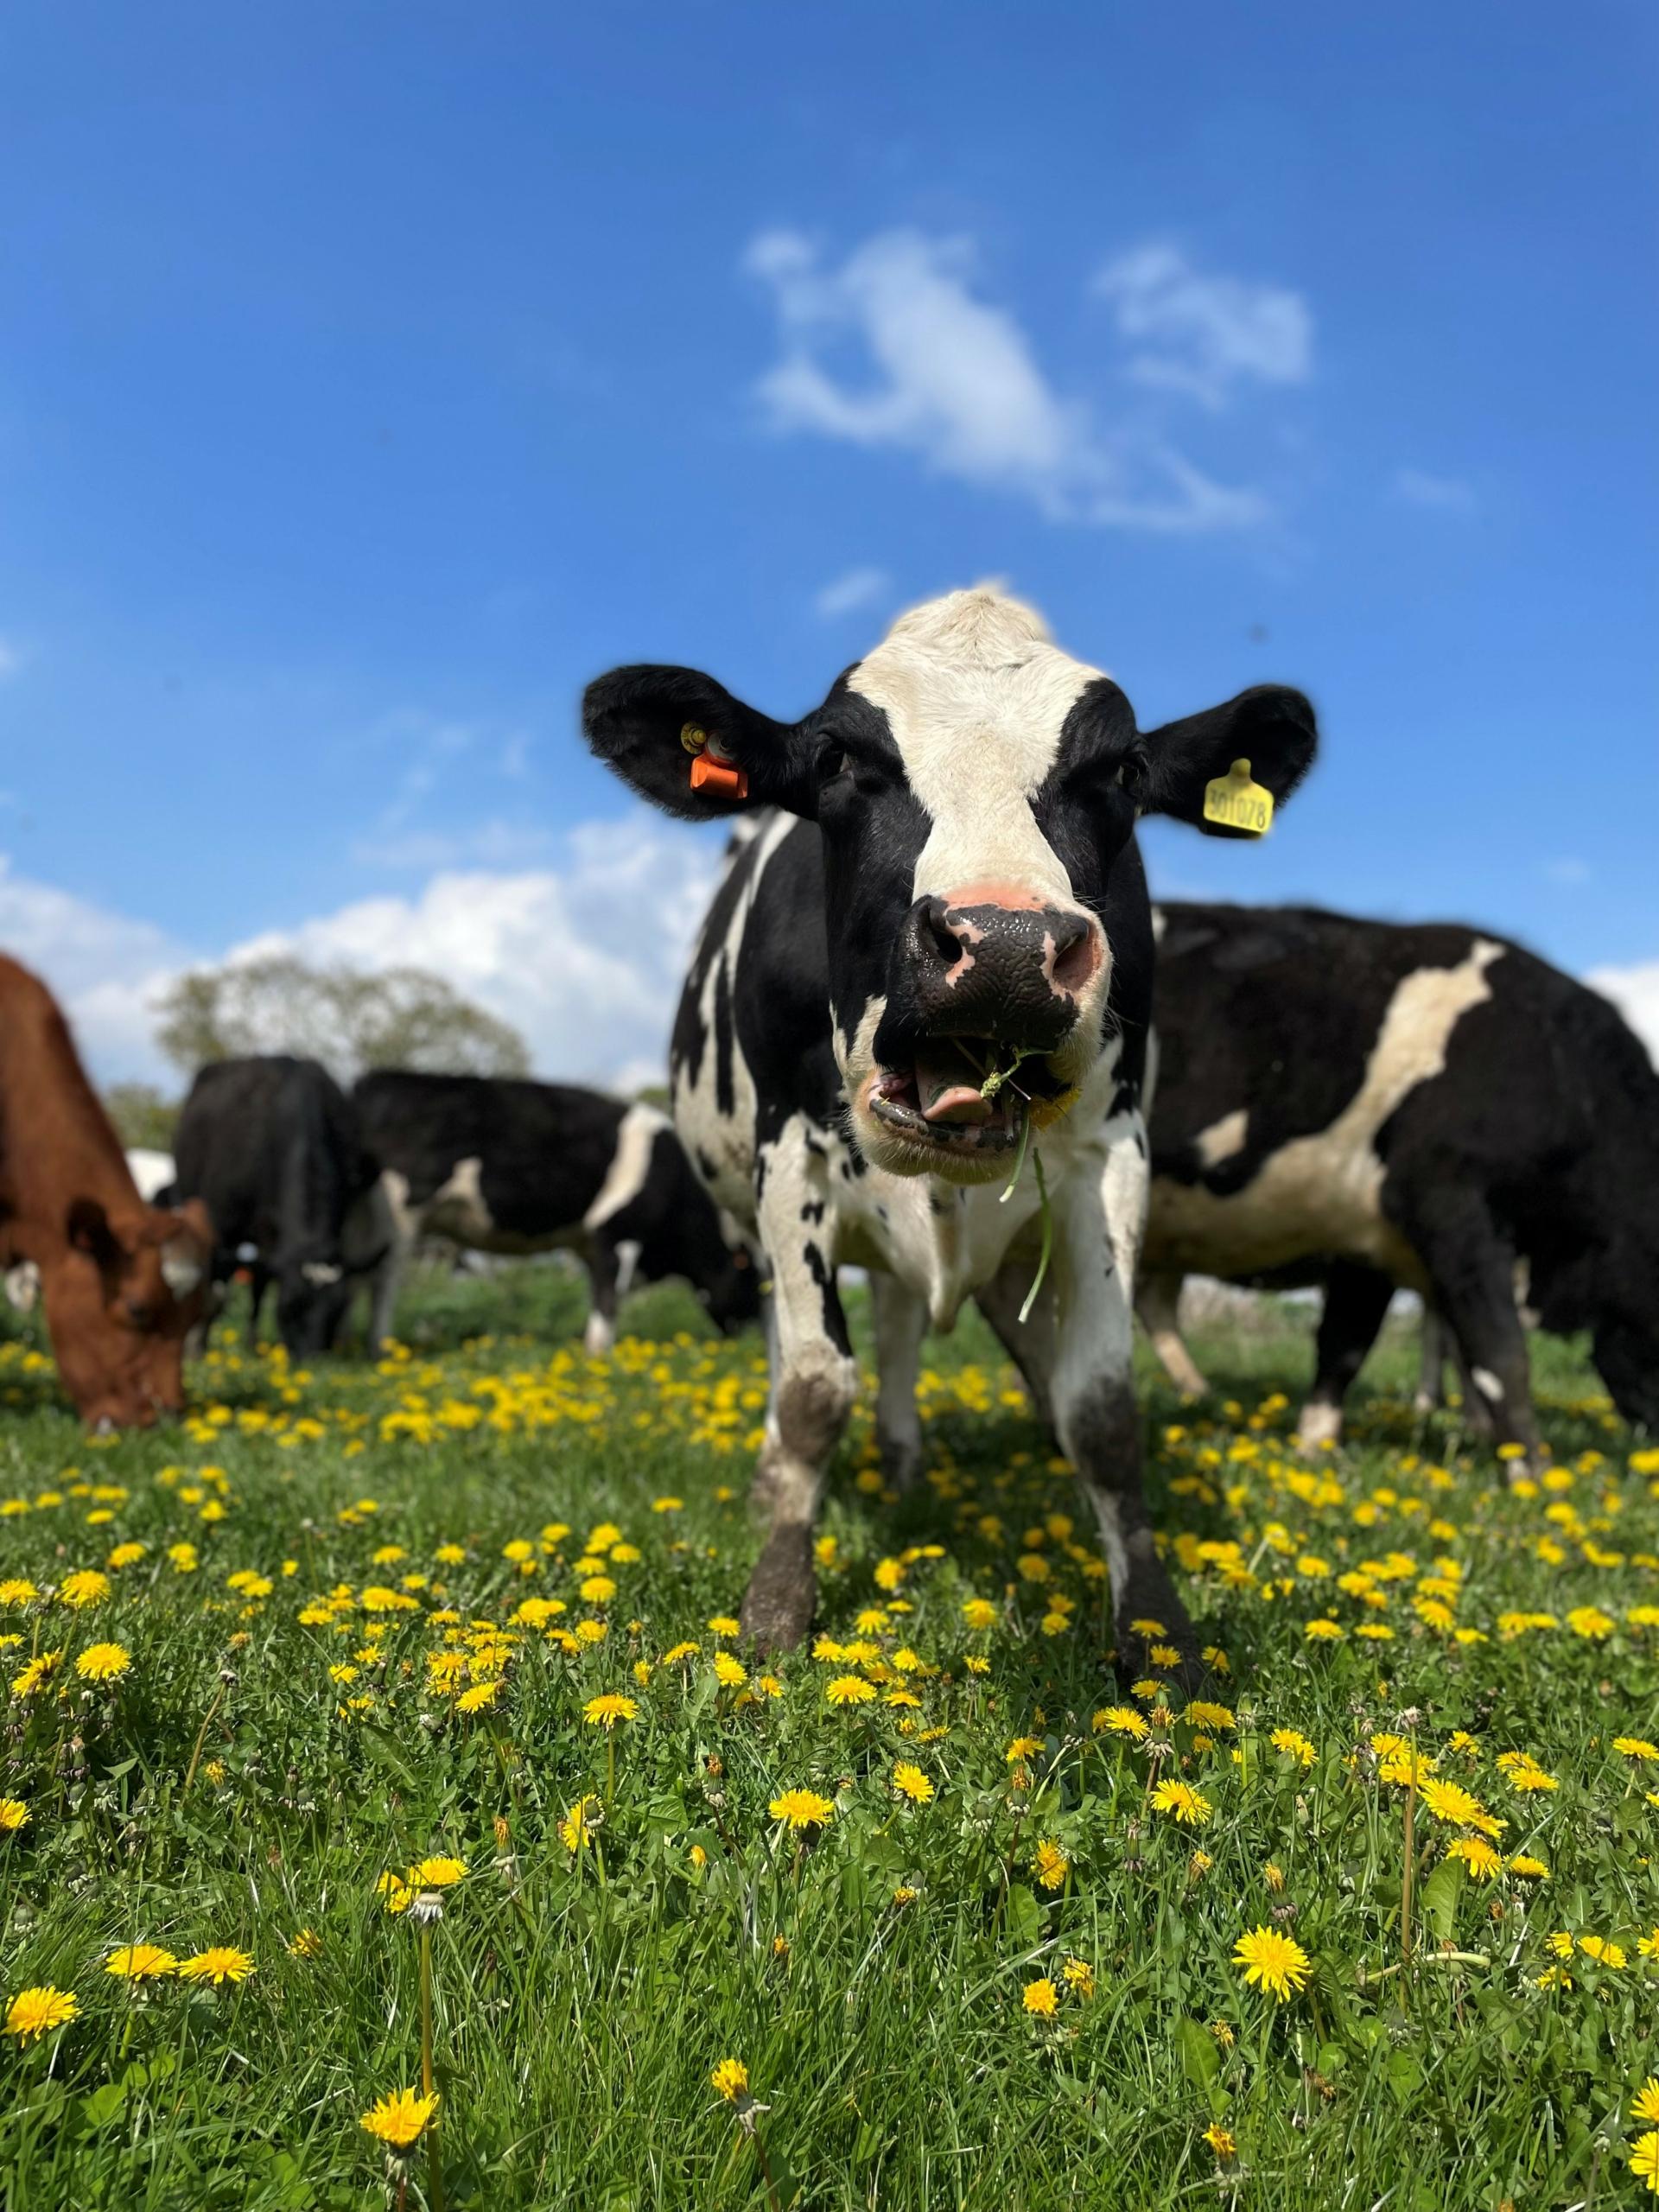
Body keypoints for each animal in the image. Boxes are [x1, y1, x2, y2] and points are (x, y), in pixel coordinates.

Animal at [170, 1048, 391, 1344]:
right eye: (288, 1307)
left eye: (337, 1311)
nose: (311, 1355)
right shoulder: (238, 1223)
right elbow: (237, 1283)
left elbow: (260, 1284)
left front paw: (253, 1343)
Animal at [358, 1065, 765, 1344]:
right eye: (754, 1280)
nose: (754, 1335)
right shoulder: (618, 1232)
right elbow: (608, 1301)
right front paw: (600, 1356)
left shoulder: (589, 1245)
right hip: (399, 1215)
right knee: (384, 1281)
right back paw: (381, 1346)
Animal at [583, 579, 1327, 1663]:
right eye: (835, 760)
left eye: (1122, 770)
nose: (1008, 946)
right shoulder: (789, 1153)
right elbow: (814, 1385)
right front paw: (778, 1598)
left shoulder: (1111, 1151)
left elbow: (1101, 1407)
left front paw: (1155, 1630)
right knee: (787, 1338)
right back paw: (779, 1476)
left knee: (901, 1319)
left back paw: (904, 1458)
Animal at [1141, 898, 1659, 1468]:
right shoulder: (1450, 1207)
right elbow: (1501, 1353)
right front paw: (1531, 1471)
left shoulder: (1365, 1237)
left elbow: (1345, 1346)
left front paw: (1317, 1453)